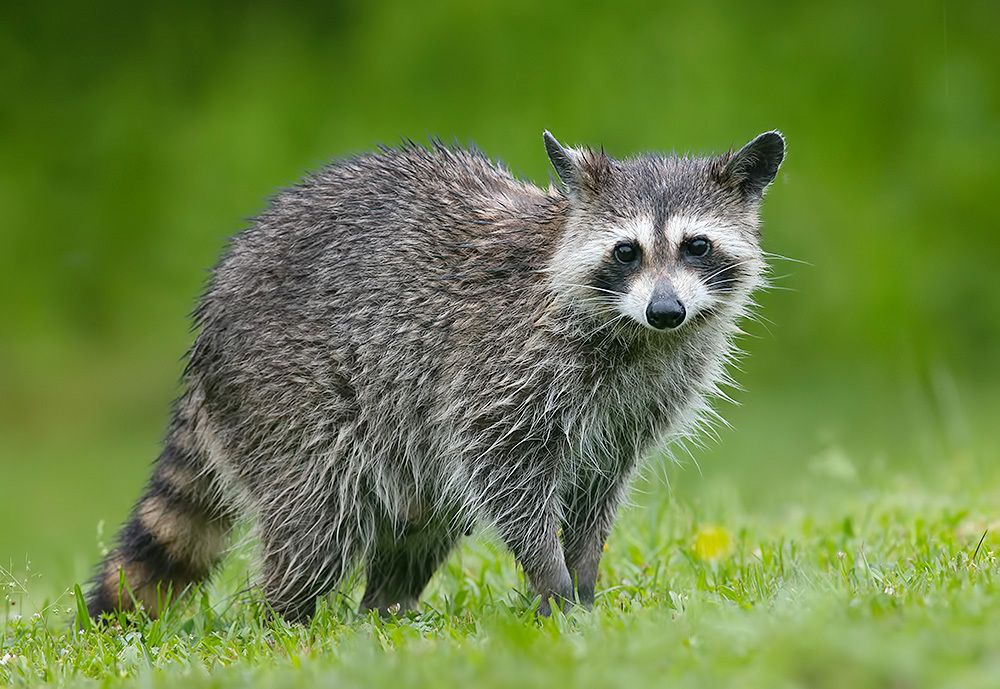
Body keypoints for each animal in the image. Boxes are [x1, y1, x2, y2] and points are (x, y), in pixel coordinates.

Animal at [85, 130, 785, 621]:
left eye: (697, 246)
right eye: (626, 251)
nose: (666, 310)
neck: (638, 334)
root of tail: (204, 338)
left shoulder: (635, 405)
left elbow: (598, 489)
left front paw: (583, 581)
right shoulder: (504, 368)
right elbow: (507, 474)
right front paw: (554, 584)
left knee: (423, 521)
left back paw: (383, 613)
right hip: (287, 398)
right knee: (317, 521)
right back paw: (288, 621)